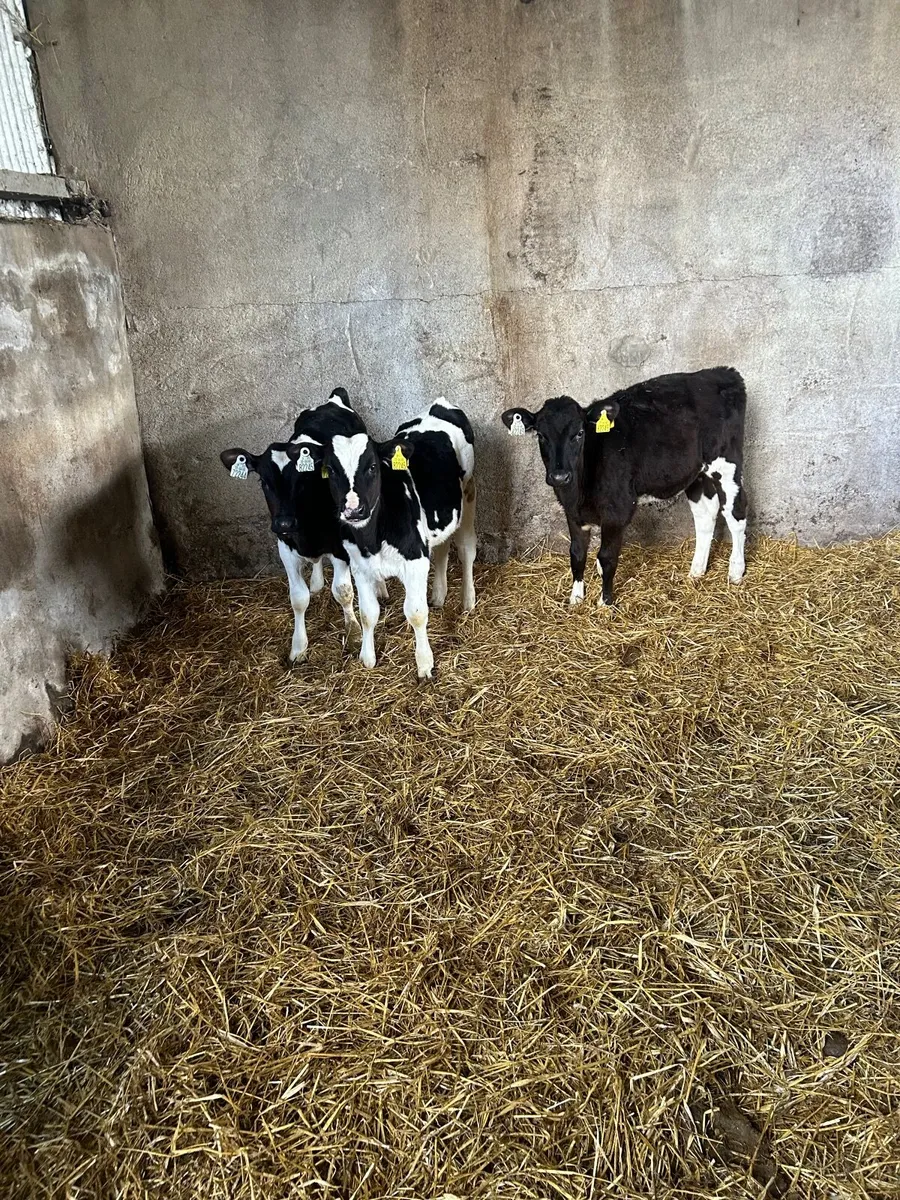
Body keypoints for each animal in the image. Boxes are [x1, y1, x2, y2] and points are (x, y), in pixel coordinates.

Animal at [220, 388, 367, 662]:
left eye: (301, 480)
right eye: (263, 482)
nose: (283, 522)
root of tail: (331, 401)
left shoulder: (339, 545)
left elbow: (343, 590)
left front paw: (353, 634)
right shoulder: (285, 547)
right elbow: (298, 598)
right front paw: (298, 647)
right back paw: (317, 583)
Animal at [291, 400, 476, 679]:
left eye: (372, 467)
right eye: (331, 470)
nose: (353, 510)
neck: (373, 540)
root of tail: (439, 404)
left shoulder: (415, 561)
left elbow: (416, 613)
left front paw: (424, 664)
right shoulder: (360, 567)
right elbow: (368, 613)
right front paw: (368, 657)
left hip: (468, 493)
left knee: (466, 550)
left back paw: (468, 601)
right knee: (442, 548)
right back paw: (439, 595)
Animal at [501, 367, 747, 607]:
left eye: (579, 433)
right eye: (541, 435)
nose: (559, 476)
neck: (580, 492)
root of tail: (723, 372)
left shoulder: (617, 511)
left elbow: (606, 557)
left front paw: (605, 603)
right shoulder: (572, 512)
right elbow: (577, 554)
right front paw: (576, 599)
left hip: (727, 464)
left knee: (736, 513)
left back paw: (736, 571)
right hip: (696, 474)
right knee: (706, 516)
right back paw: (696, 571)